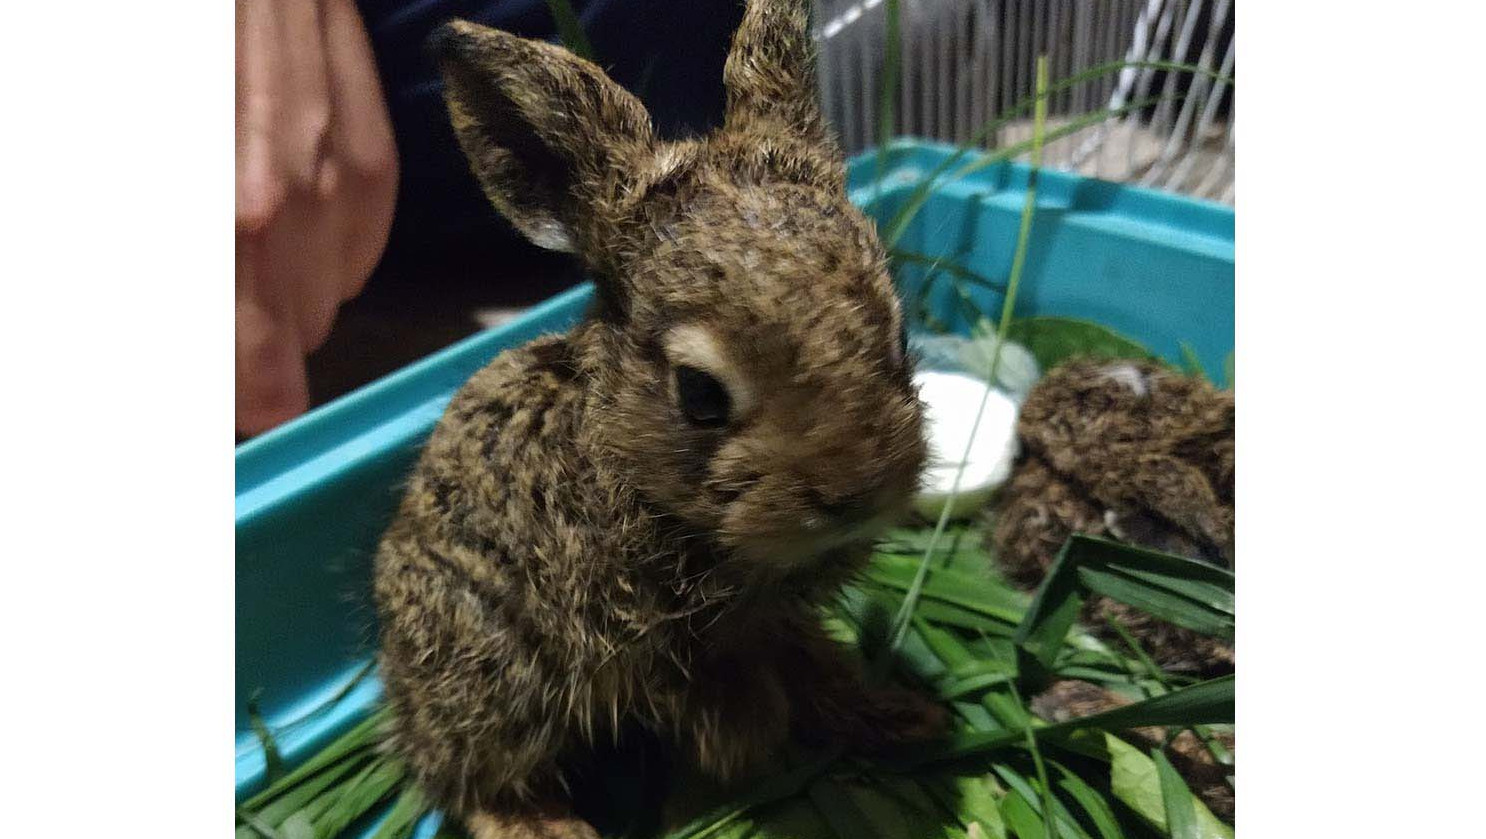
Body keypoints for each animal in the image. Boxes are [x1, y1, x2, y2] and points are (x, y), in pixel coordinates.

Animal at [377, 3, 945, 831]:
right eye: (699, 393)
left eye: (900, 336)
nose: (857, 491)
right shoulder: (634, 646)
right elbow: (698, 688)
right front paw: (747, 739)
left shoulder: (776, 620)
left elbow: (810, 662)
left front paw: (888, 712)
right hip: (485, 670)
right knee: (470, 778)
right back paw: (547, 825)